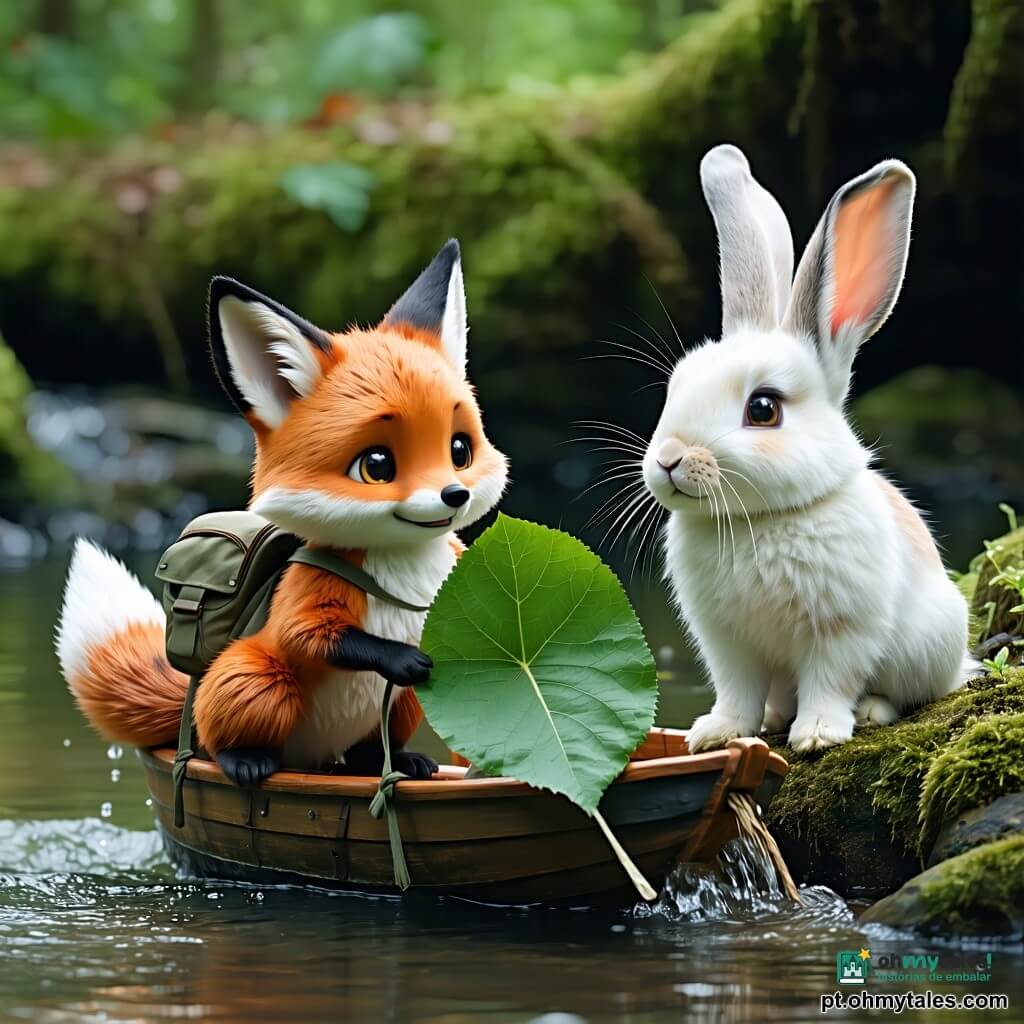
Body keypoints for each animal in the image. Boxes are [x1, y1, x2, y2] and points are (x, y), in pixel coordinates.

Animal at [640, 144, 977, 753]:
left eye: (763, 409)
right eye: (676, 386)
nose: (669, 459)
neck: (760, 520)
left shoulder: (841, 630)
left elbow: (830, 681)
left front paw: (818, 736)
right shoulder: (728, 643)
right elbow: (737, 691)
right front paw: (716, 734)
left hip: (927, 647)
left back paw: (868, 712)